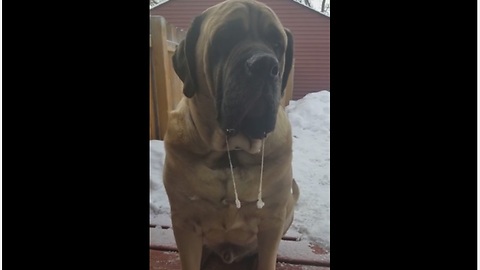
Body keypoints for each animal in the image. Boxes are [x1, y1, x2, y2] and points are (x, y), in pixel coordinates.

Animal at [164, 1, 300, 268]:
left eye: (276, 44)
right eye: (225, 38)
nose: (264, 65)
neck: (230, 155)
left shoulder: (272, 220)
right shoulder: (185, 222)